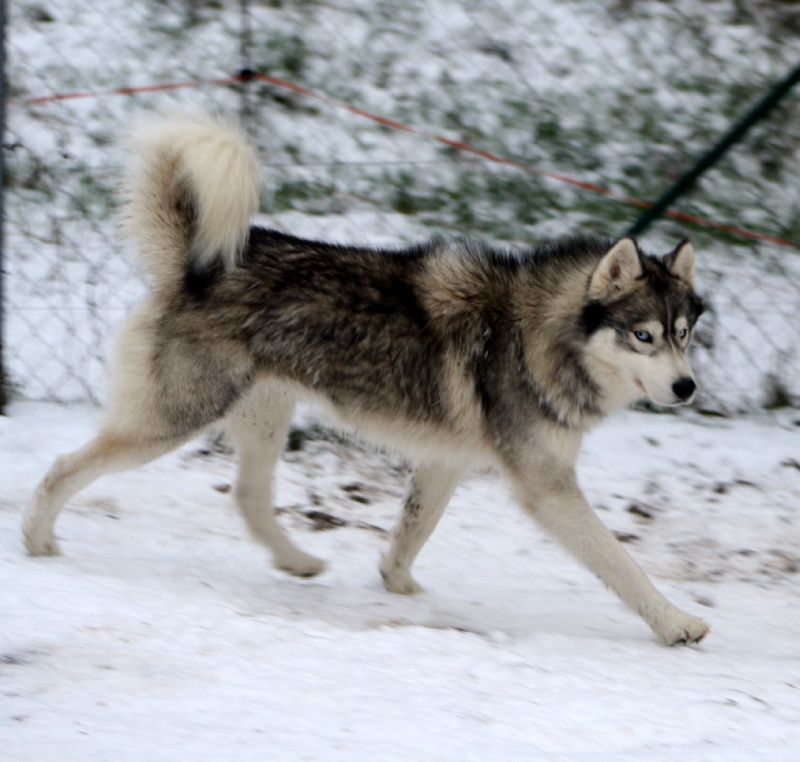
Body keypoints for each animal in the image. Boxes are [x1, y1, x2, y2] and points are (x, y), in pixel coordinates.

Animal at [23, 110, 709, 645]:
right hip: (171, 421)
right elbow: (621, 563)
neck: (533, 336)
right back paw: (37, 542)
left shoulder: (443, 463)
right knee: (62, 466)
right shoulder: (548, 489)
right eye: (643, 335)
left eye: (682, 334)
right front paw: (675, 622)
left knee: (247, 498)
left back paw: (298, 562)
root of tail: (197, 263)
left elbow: (410, 534)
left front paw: (398, 585)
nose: (687, 388)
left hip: (260, 421)